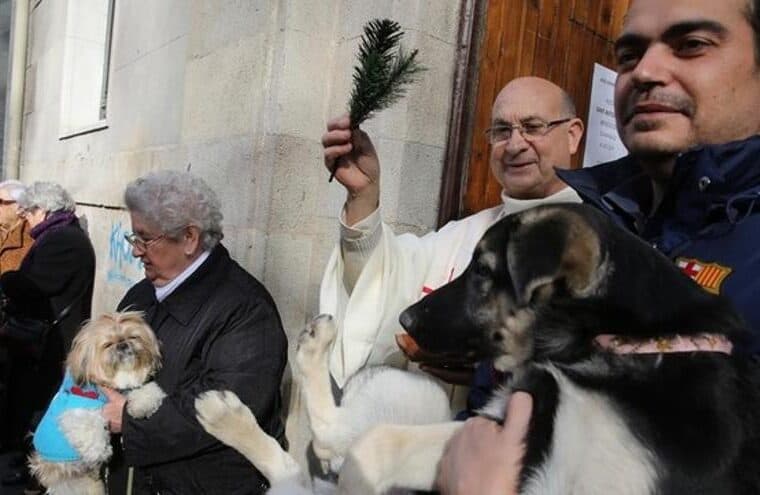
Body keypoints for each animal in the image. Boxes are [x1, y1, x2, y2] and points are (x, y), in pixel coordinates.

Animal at [29, 312, 165, 494]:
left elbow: (144, 391)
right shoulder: (76, 411)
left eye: (133, 337)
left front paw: (144, 403)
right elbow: (90, 426)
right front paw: (100, 451)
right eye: (108, 345)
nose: (123, 344)